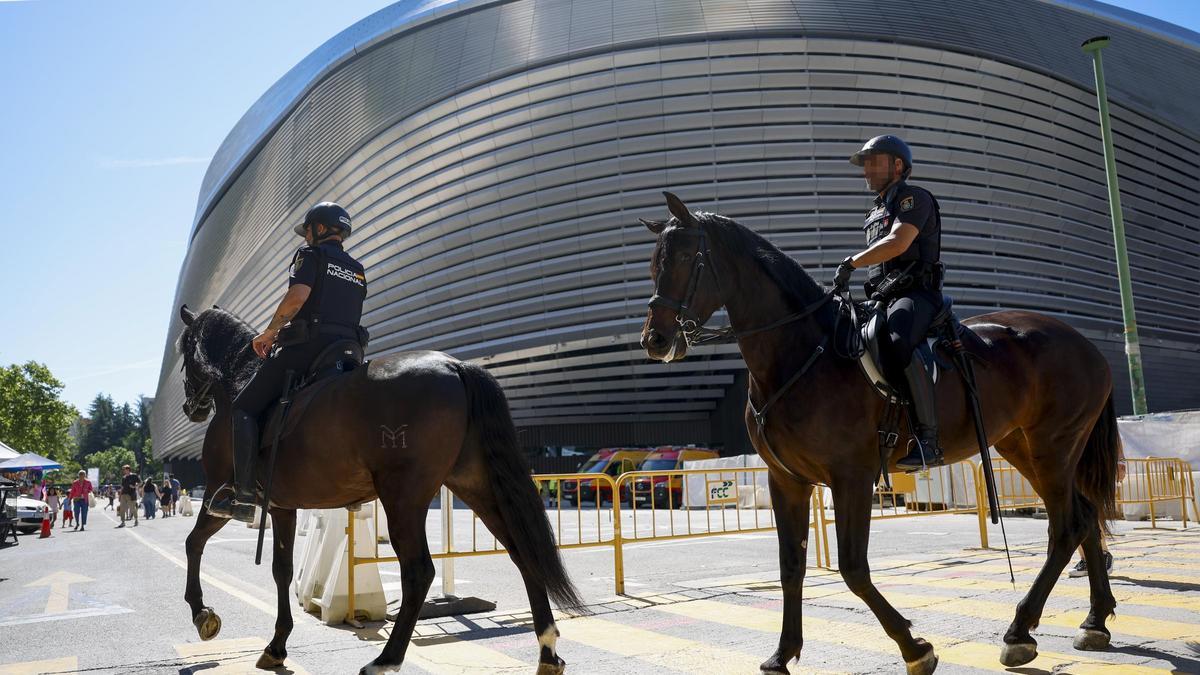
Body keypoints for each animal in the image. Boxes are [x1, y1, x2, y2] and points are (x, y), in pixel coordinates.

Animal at [175, 306, 583, 672]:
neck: (238, 382)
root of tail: (455, 367)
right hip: (477, 487)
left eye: (184, 354)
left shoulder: (219, 493)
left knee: (418, 572)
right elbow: (282, 570)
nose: (191, 408)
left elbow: (194, 543)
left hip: (403, 497)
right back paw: (547, 650)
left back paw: (386, 659)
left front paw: (202, 614)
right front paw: (276, 646)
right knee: (522, 550)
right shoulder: (283, 506)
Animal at [643, 192, 1118, 667]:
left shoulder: (851, 477)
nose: (655, 339)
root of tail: (1085, 344)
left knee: (1066, 527)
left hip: (1052, 447)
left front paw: (915, 648)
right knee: (1085, 516)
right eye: (653, 262)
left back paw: (1020, 631)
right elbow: (790, 565)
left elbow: (853, 568)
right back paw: (1094, 622)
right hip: (1022, 447)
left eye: (684, 257)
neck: (800, 353)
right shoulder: (787, 480)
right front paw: (783, 653)